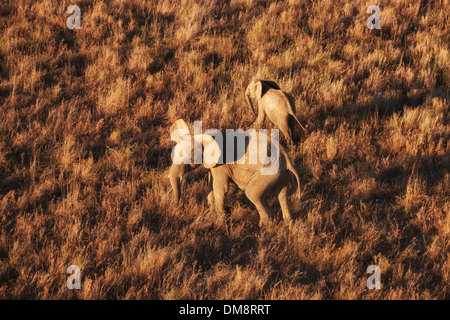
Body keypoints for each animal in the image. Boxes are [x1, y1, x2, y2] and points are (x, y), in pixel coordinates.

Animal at [167, 119, 300, 226]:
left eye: (189, 159)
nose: (176, 208)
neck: (205, 136)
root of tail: (287, 159)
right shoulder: (214, 165)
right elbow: (211, 185)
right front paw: (212, 214)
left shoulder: (222, 164)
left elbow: (221, 188)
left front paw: (221, 220)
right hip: (281, 174)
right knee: (282, 195)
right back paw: (288, 223)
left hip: (269, 173)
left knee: (253, 194)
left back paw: (264, 227)